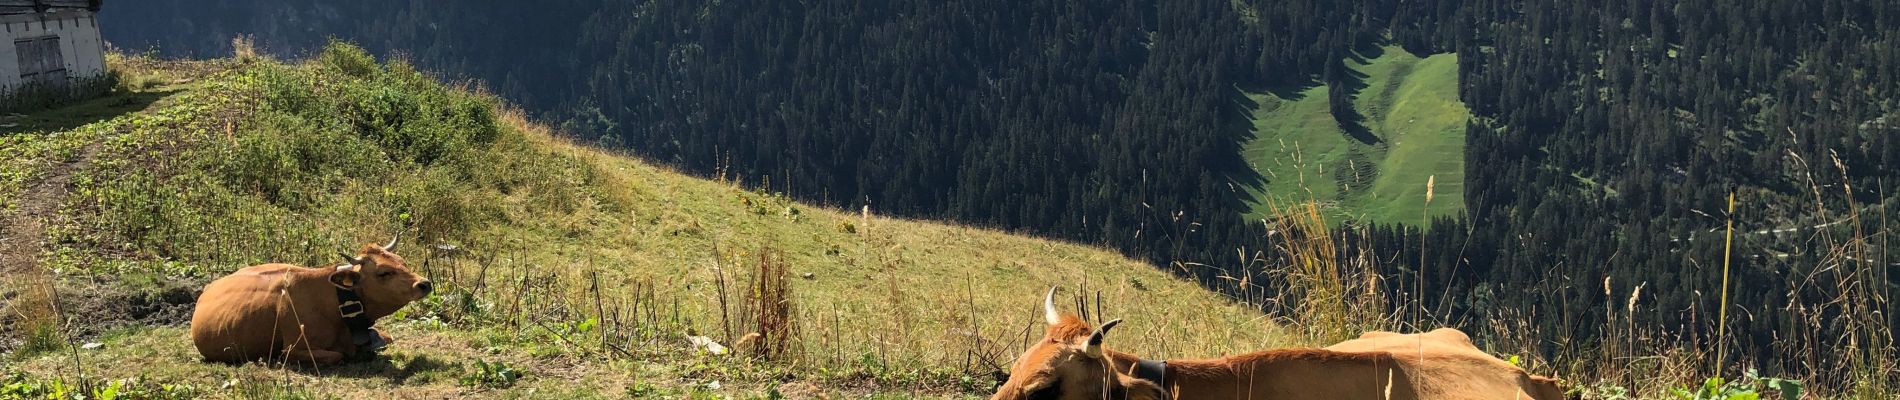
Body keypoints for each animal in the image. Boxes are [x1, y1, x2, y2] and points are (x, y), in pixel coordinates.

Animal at [188, 234, 435, 365]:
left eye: (402, 261)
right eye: (384, 273)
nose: (424, 283)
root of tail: (210, 286)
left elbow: (387, 337)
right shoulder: (291, 350)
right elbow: (338, 355)